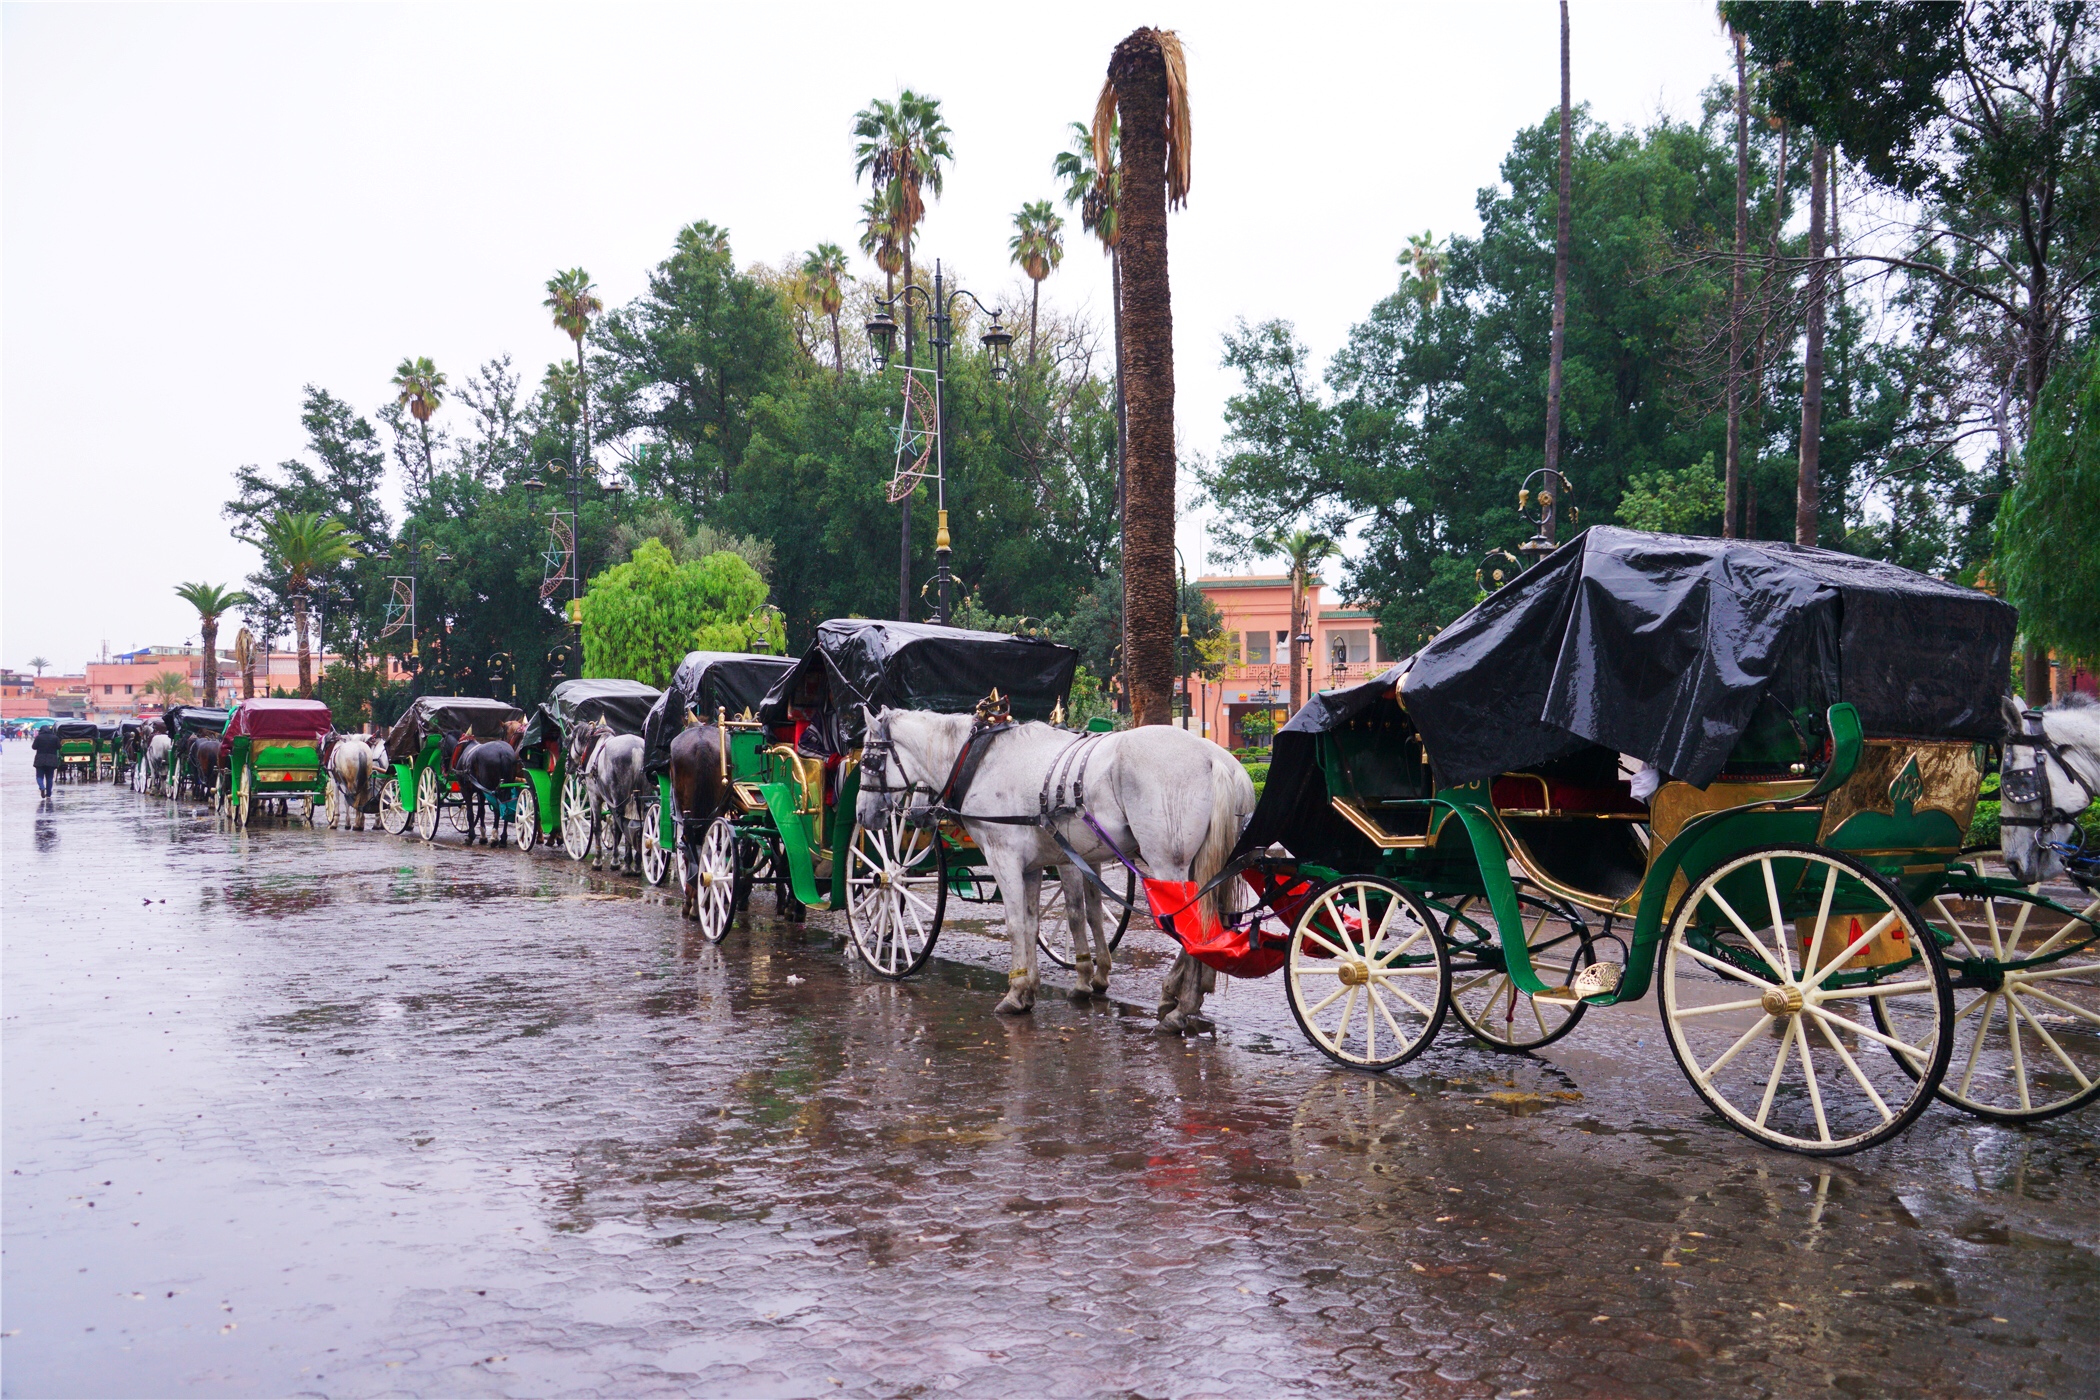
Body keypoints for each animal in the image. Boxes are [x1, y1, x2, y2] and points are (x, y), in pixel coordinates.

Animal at [856, 713, 1251, 1028]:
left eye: (869, 761)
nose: (862, 814)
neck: (982, 762)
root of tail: (1215, 757)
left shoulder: (1005, 858)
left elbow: (1020, 923)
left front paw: (1016, 991)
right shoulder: (1033, 866)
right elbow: (1035, 924)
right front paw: (1030, 987)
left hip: (1167, 863)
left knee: (1191, 925)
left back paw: (1181, 1006)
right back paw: (1185, 995)